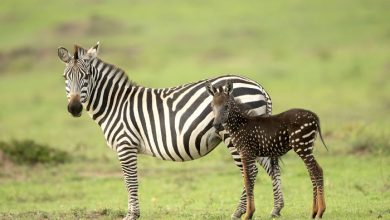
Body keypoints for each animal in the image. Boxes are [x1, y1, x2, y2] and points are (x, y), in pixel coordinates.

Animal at [206, 81, 328, 220]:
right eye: (212, 106)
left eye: (226, 106)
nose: (216, 125)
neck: (239, 124)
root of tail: (314, 116)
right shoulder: (250, 154)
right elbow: (249, 179)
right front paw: (249, 212)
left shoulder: (246, 152)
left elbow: (248, 180)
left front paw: (248, 214)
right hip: (307, 147)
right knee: (312, 172)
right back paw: (313, 212)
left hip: (302, 145)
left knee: (317, 171)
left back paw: (320, 211)